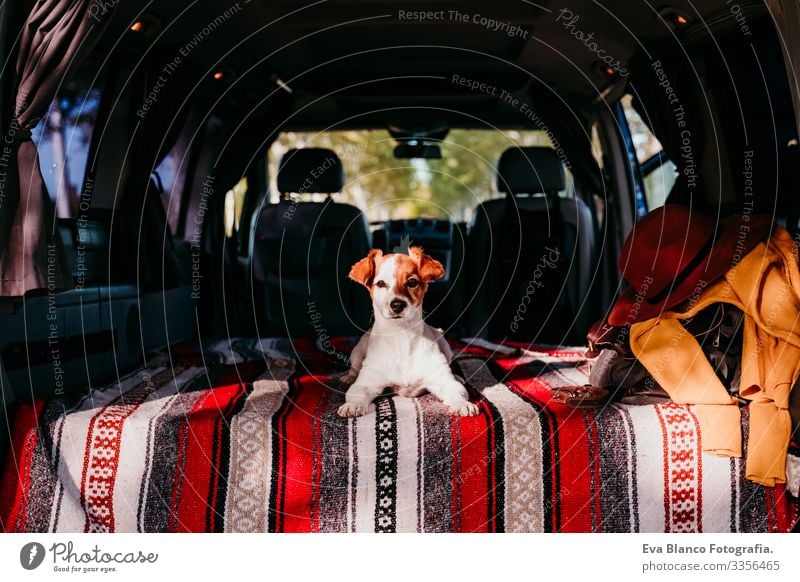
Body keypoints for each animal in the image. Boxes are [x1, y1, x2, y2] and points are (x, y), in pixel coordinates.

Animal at [334, 246, 478, 420]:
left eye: (412, 282)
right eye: (380, 284)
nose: (397, 304)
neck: (401, 335)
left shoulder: (444, 381)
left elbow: (456, 392)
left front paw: (463, 404)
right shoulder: (366, 384)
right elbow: (356, 394)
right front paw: (352, 405)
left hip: (444, 344)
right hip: (357, 352)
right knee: (354, 368)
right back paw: (349, 377)